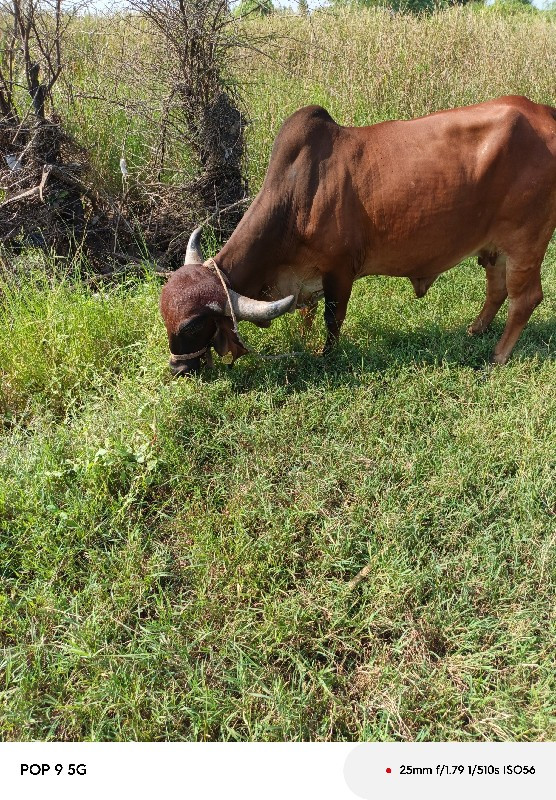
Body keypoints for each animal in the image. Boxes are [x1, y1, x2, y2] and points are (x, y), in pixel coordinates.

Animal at [160, 95, 556, 376]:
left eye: (194, 326)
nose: (178, 369)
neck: (297, 195)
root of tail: (545, 113)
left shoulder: (339, 271)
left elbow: (332, 320)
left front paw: (325, 356)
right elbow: (307, 314)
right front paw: (305, 341)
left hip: (525, 243)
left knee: (525, 299)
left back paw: (498, 356)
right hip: (496, 248)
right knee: (497, 289)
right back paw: (475, 330)